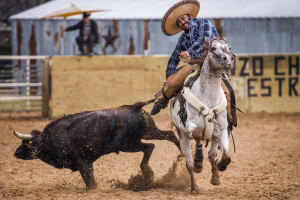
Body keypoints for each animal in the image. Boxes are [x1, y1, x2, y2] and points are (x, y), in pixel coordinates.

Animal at [171, 38, 234, 194]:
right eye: (212, 48)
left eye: (229, 47)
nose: (228, 59)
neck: (209, 97)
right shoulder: (190, 125)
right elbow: (198, 134)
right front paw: (199, 162)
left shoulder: (222, 130)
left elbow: (226, 156)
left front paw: (221, 166)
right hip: (183, 137)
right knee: (189, 164)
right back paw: (194, 188)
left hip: (214, 137)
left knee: (212, 154)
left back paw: (215, 177)